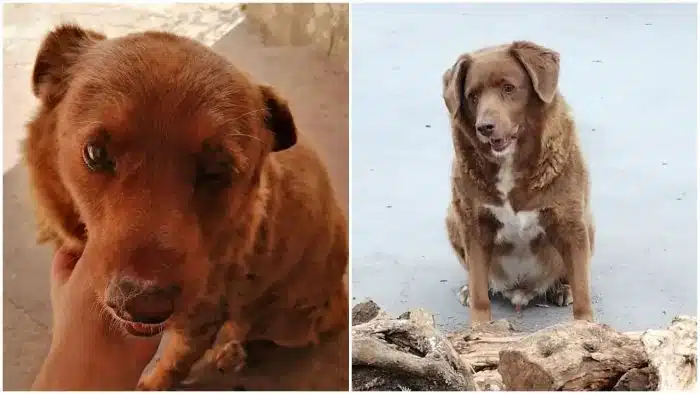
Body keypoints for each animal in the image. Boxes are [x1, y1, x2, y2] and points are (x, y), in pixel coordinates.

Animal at [23, 25, 348, 390]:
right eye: (95, 153)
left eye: (218, 170)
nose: (142, 306)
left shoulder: (201, 320)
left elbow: (175, 362)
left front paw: (154, 382)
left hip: (285, 322)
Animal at [440, 40, 592, 324]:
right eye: (473, 96)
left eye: (508, 88)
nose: (484, 127)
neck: (510, 163)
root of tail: (521, 289)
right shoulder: (474, 225)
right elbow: (479, 290)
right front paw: (479, 327)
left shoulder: (570, 222)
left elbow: (582, 289)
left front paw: (586, 325)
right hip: (453, 218)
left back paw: (561, 288)